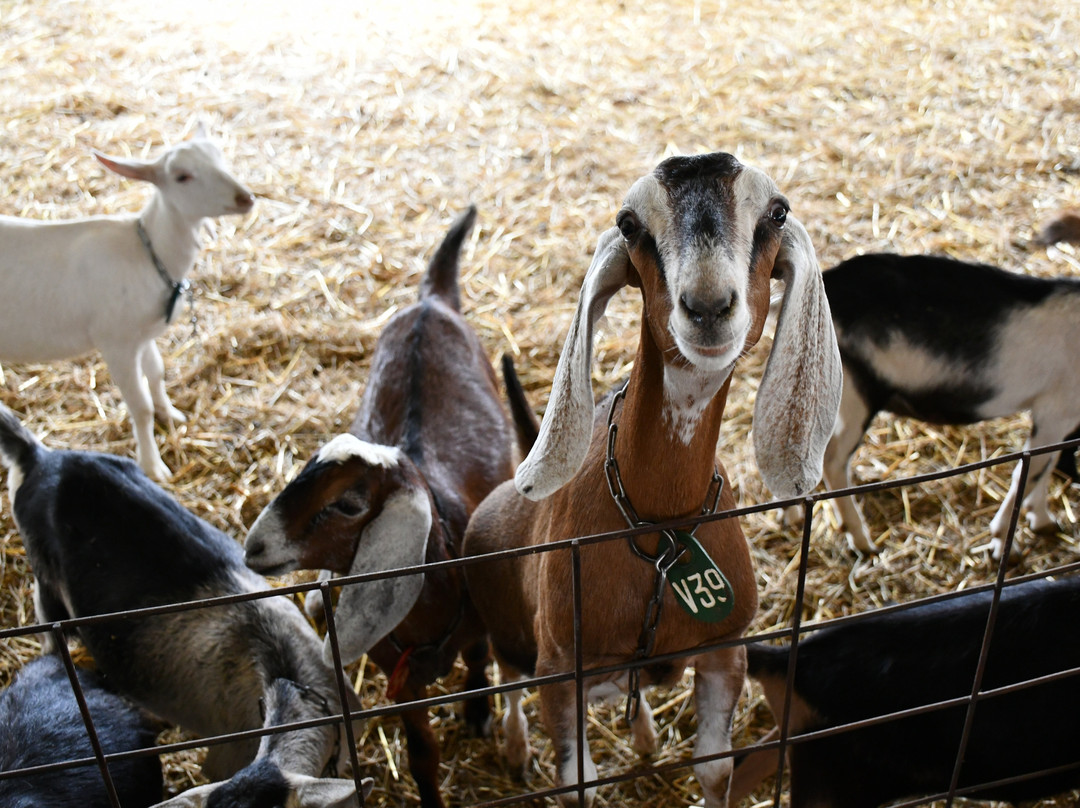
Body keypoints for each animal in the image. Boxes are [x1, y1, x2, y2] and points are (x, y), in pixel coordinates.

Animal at [0, 123, 255, 481]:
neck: (149, 252)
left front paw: (171, 414)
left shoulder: (143, 334)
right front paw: (153, 466)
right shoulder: (117, 343)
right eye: (181, 176)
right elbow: (141, 408)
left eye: (221, 157)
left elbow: (157, 373)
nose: (245, 198)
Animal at [244, 206, 534, 808]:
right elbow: (422, 754)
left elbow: (479, 658)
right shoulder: (403, 687)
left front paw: (478, 708)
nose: (253, 547)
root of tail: (430, 302)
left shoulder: (479, 623)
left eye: (349, 504)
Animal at [461, 152, 842, 806]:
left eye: (777, 212)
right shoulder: (561, 671)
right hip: (507, 632)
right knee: (506, 682)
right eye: (629, 223)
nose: (708, 307)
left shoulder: (724, 653)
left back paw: (642, 737)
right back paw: (514, 750)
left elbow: (716, 769)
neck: (660, 526)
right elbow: (577, 786)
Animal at [805, 252, 1080, 559]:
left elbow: (1048, 462)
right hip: (855, 394)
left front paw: (1042, 519)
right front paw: (1002, 541)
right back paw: (862, 540)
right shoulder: (1056, 410)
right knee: (833, 460)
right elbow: (1031, 471)